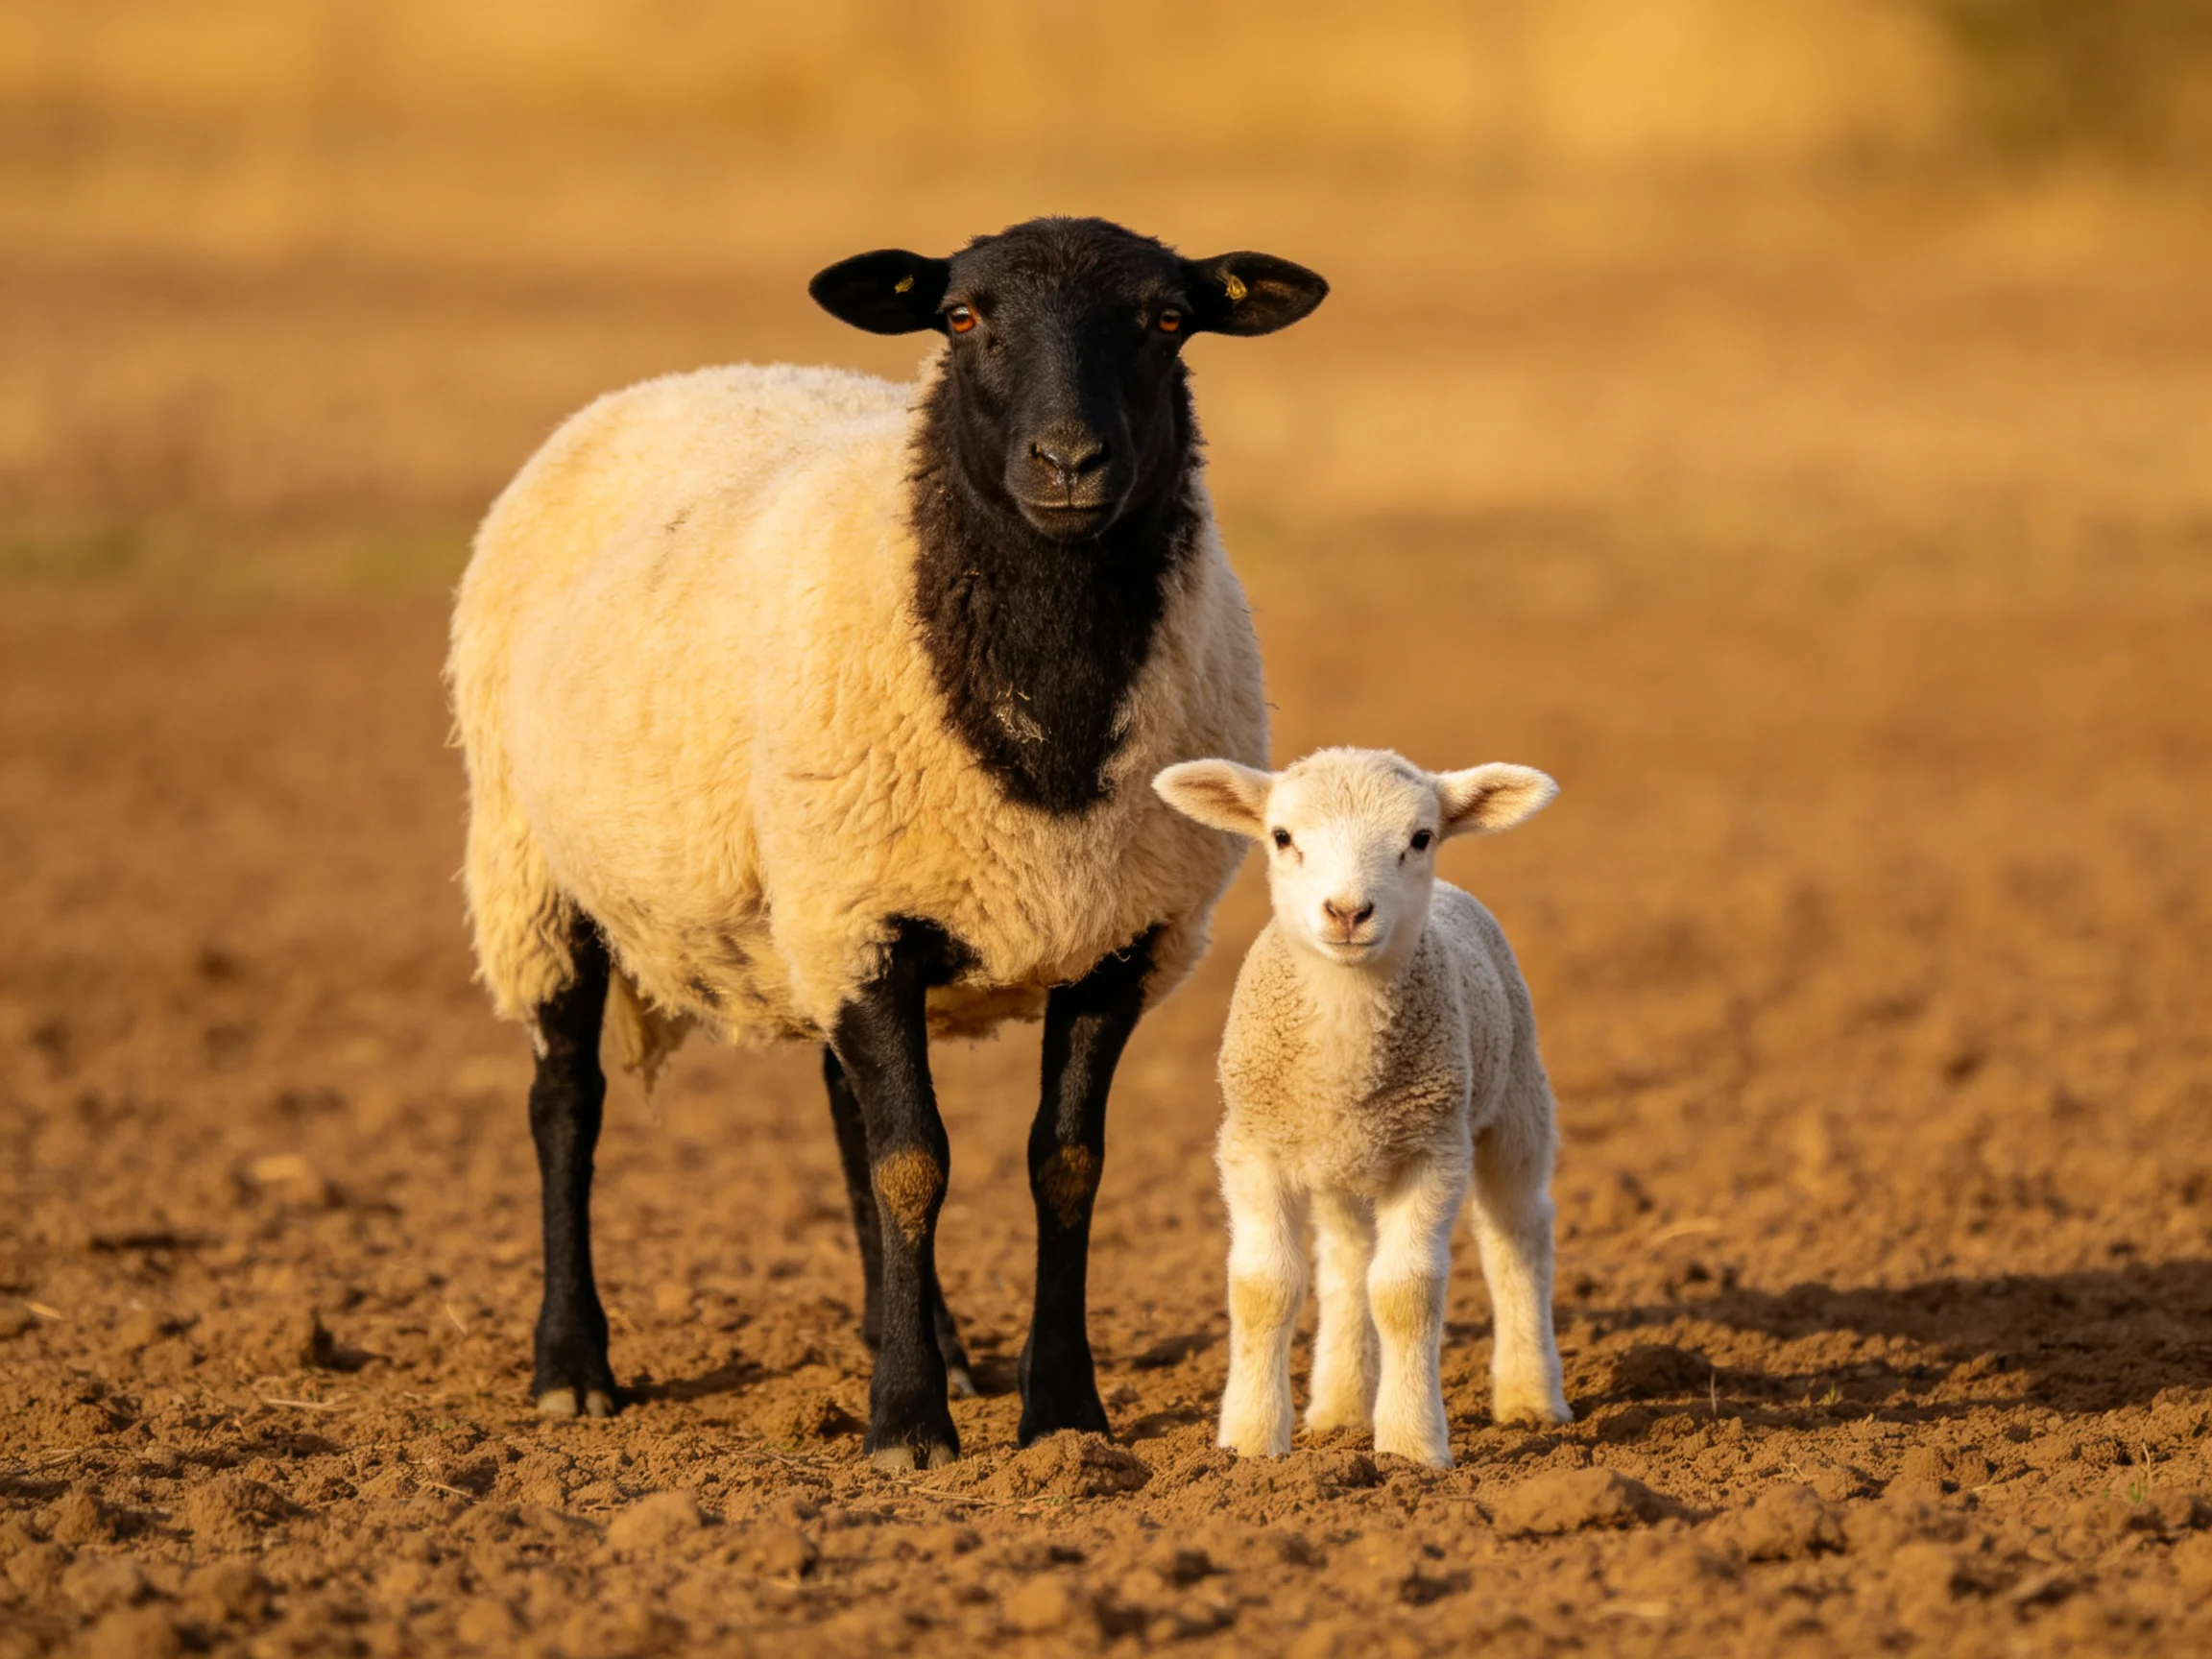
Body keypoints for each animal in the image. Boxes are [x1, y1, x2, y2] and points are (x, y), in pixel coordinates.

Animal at [446, 217, 1328, 1469]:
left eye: (1169, 320)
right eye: (960, 317)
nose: (1070, 462)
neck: (1048, 723)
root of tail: (685, 378)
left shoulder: (1116, 940)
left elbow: (1062, 1167)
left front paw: (1062, 1414)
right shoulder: (868, 925)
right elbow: (916, 1164)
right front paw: (906, 1426)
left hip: (806, 908)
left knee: (841, 1108)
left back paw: (937, 1348)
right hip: (538, 868)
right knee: (565, 1103)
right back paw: (575, 1369)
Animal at [1152, 746, 1572, 1468]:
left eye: (1421, 837)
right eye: (1282, 837)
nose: (1348, 911)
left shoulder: (1434, 1149)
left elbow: (1406, 1293)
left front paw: (1409, 1447)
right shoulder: (1252, 1147)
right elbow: (1265, 1287)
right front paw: (1250, 1443)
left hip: (1516, 1097)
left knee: (1518, 1234)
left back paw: (1529, 1396)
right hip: (1338, 1166)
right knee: (1346, 1263)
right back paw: (1341, 1409)